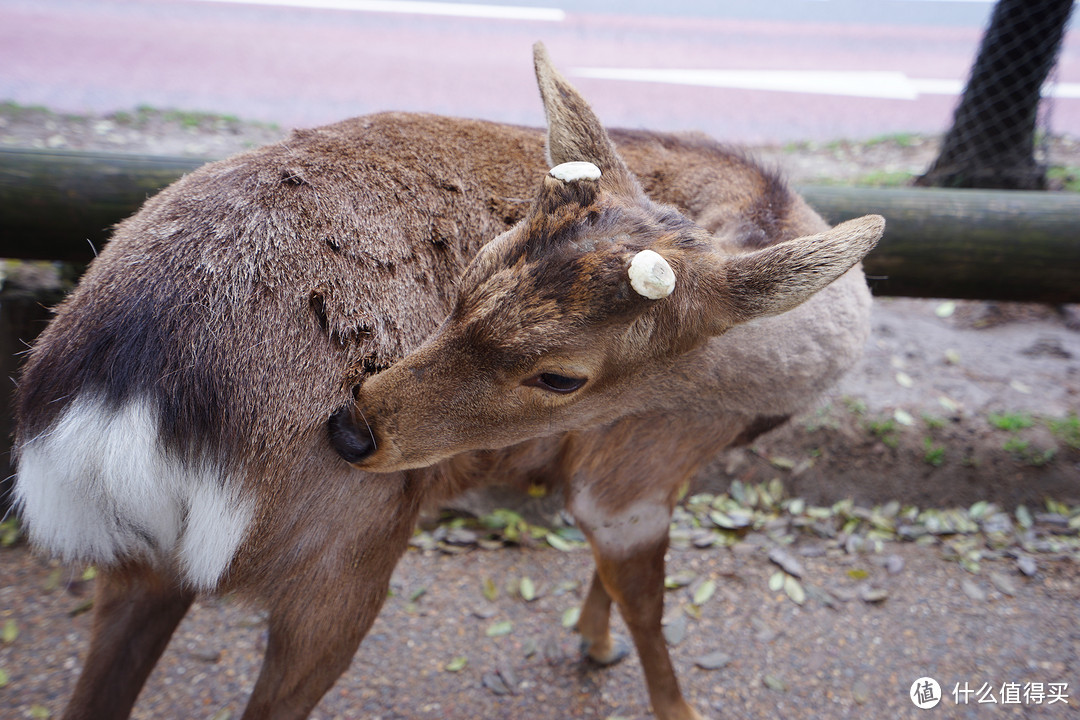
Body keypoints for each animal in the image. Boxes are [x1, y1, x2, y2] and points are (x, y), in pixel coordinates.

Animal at [12, 43, 881, 720]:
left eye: (560, 376)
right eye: (466, 278)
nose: (352, 426)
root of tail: (116, 396)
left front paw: (589, 641)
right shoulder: (635, 464)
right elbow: (646, 599)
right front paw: (665, 694)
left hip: (139, 560)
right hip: (340, 552)